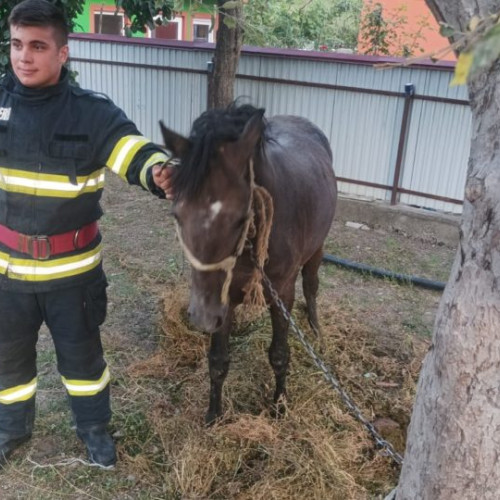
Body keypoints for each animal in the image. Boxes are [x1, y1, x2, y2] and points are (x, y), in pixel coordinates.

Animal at [161, 104, 336, 422]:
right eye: (177, 214)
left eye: (240, 218)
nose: (202, 318)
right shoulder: (224, 299)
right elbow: (218, 361)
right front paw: (214, 415)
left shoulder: (282, 295)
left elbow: (279, 354)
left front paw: (279, 406)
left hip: (317, 248)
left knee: (312, 285)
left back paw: (316, 330)